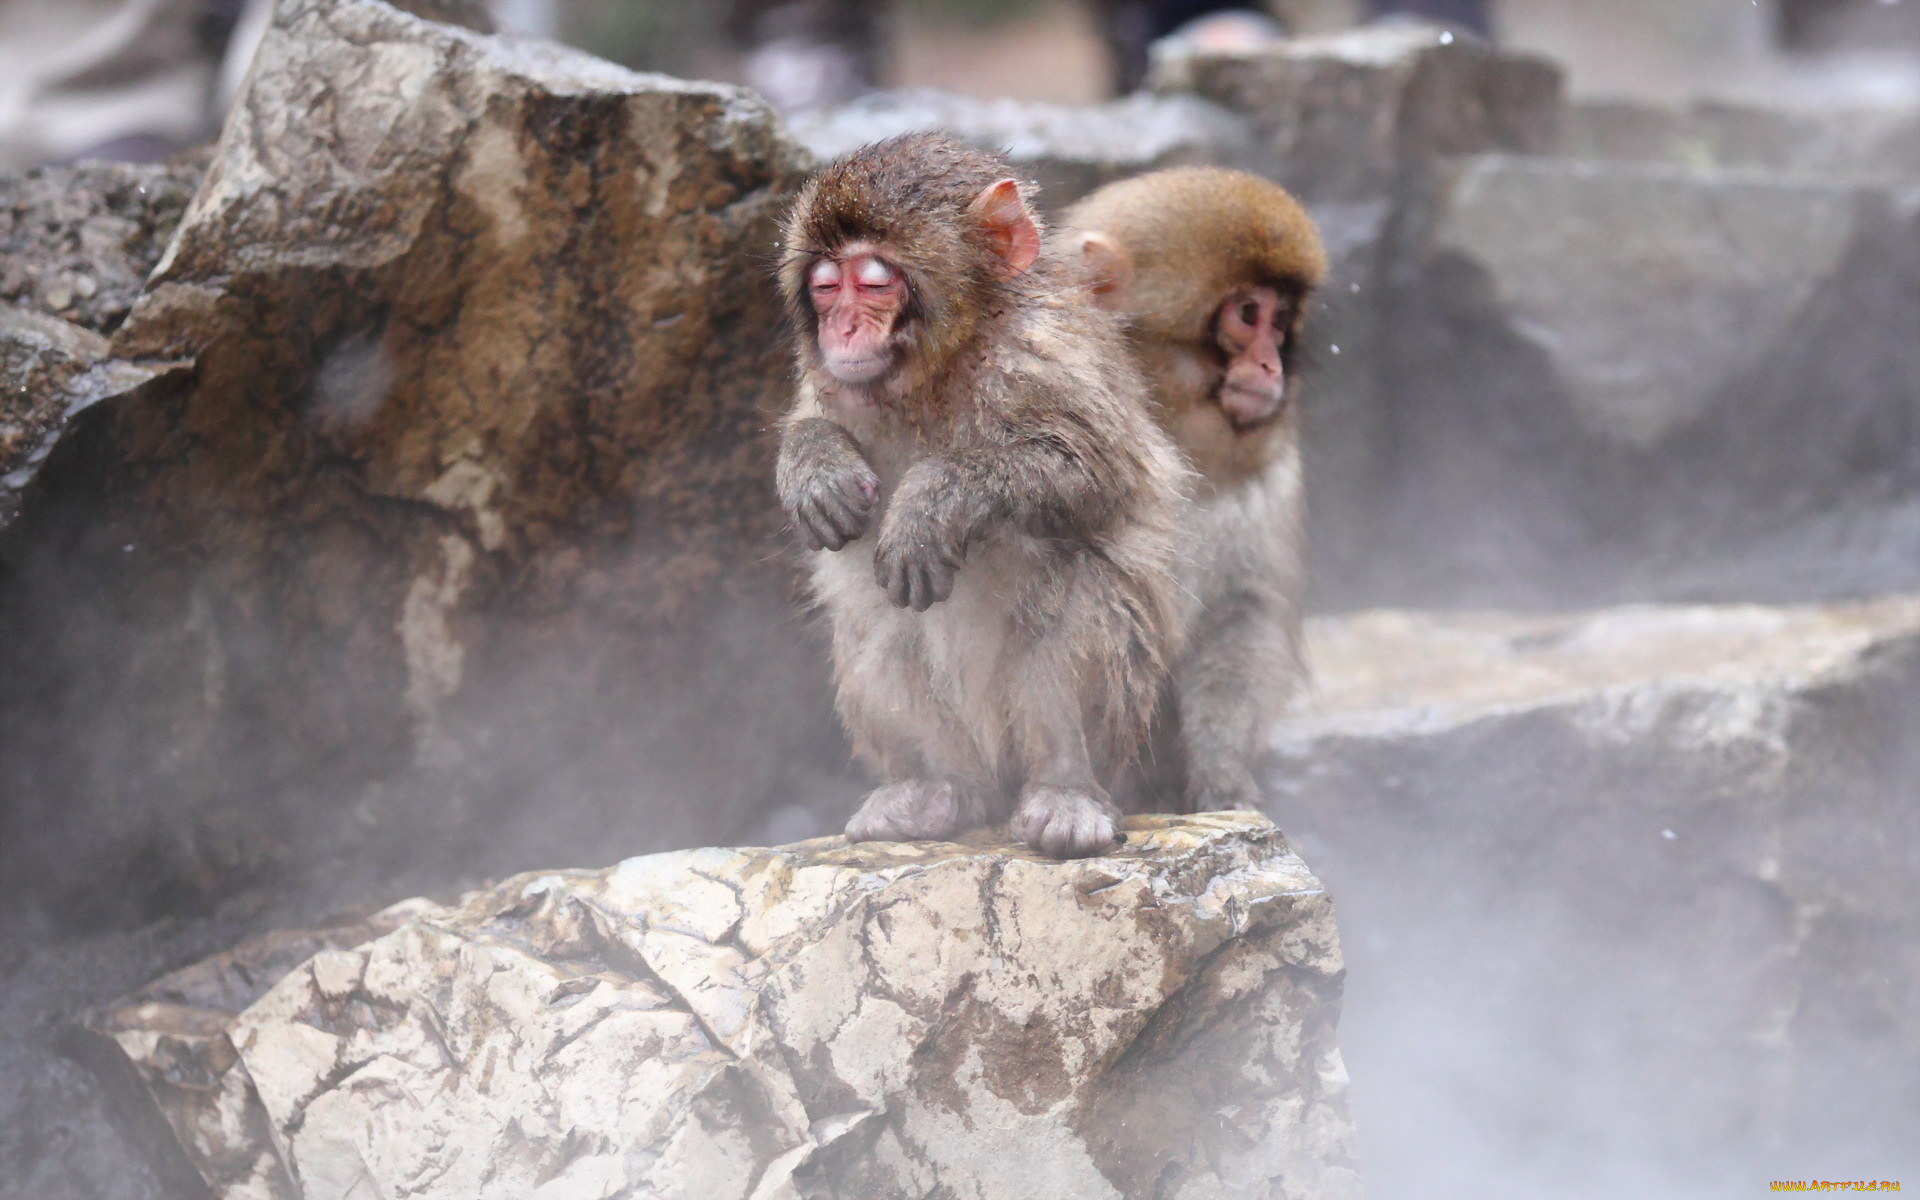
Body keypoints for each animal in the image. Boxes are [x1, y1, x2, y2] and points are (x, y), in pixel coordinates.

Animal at [774, 132, 1190, 859]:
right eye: (825, 288)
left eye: (872, 283)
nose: (841, 332)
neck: (942, 368)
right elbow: (811, 420)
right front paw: (814, 465)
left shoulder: (1045, 352)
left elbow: (1090, 470)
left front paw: (932, 501)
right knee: (878, 626)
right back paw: (941, 790)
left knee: (1078, 591)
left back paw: (1065, 790)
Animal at [1059, 166, 1327, 814]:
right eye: (1248, 314)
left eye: (1280, 321)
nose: (1272, 368)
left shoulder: (1272, 474)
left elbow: (1242, 614)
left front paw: (1222, 774)